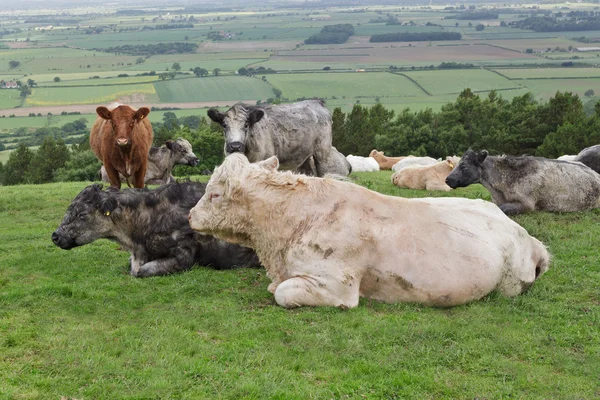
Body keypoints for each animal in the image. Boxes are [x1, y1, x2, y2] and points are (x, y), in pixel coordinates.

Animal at [188, 153, 548, 310]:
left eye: (214, 194)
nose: (191, 215)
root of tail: (529, 238)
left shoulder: (337, 286)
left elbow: (283, 293)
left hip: (510, 284)